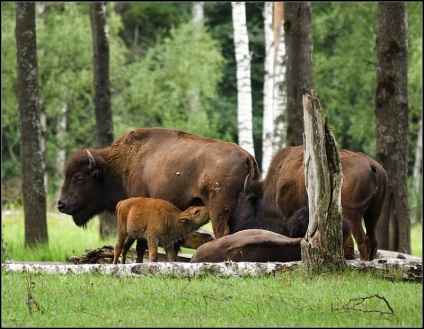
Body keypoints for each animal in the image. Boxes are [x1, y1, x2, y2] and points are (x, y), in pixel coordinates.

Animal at [56, 126, 258, 238]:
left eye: (79, 178)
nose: (61, 205)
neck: (119, 164)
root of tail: (246, 156)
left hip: (218, 209)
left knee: (222, 233)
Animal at [232, 145, 388, 260]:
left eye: (241, 199)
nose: (232, 222)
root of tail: (373, 166)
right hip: (374, 214)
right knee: (373, 242)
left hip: (353, 215)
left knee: (363, 242)